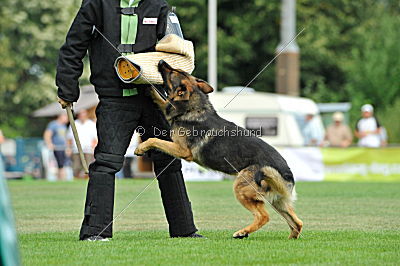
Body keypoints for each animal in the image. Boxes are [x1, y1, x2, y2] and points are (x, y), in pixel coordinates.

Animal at [134, 60, 304, 239]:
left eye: (173, 72)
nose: (161, 61)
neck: (193, 107)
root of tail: (287, 173)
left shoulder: (182, 150)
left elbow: (155, 139)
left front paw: (141, 147)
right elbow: (162, 101)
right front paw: (149, 89)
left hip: (241, 189)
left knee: (263, 216)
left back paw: (242, 232)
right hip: (278, 201)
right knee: (297, 222)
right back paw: (290, 238)